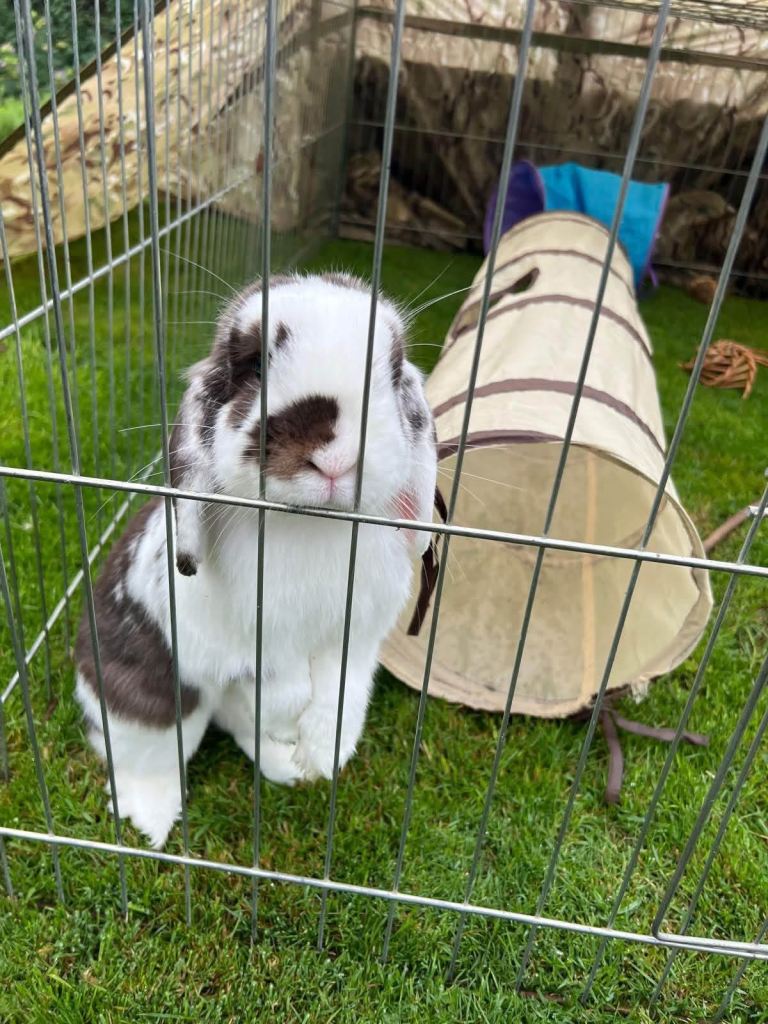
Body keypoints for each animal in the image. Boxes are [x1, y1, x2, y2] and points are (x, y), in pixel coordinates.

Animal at [75, 272, 438, 849]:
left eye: (393, 369)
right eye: (251, 365)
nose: (335, 458)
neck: (312, 524)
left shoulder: (354, 637)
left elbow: (339, 693)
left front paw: (323, 754)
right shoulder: (261, 641)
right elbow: (283, 684)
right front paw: (296, 730)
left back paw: (289, 767)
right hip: (143, 693)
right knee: (146, 753)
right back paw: (153, 823)